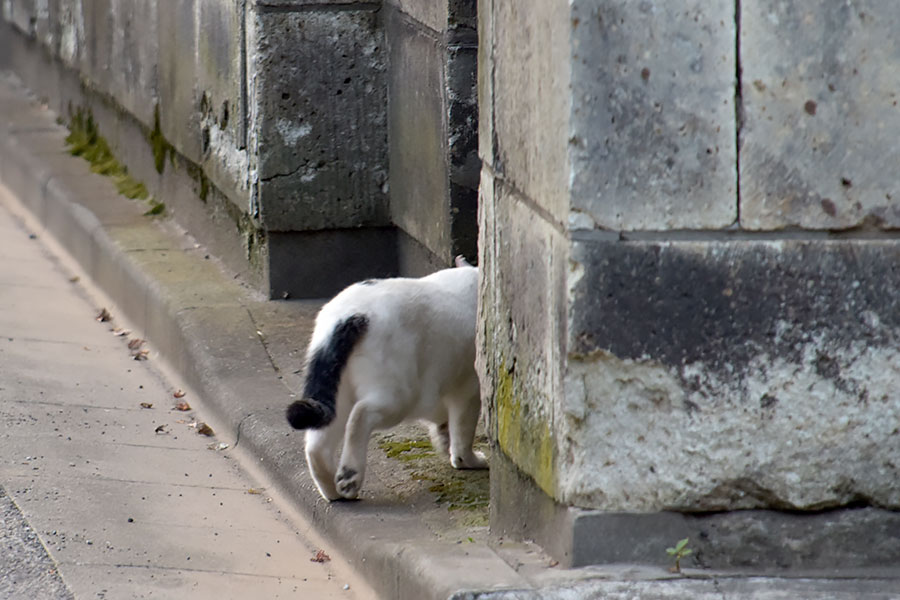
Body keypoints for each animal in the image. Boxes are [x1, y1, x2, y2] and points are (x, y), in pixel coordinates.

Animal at [286, 255, 486, 500]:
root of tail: (348, 315)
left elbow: (444, 426)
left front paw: (443, 440)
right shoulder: (467, 390)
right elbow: (462, 435)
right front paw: (467, 460)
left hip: (338, 393)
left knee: (317, 445)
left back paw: (334, 490)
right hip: (399, 395)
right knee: (360, 416)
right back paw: (349, 476)